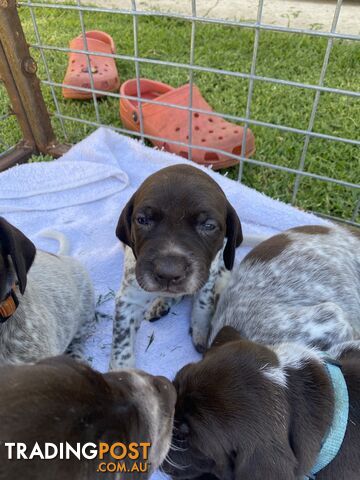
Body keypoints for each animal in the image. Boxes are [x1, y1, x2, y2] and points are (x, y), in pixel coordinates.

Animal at [109, 164, 242, 368]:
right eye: (142, 220)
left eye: (209, 226)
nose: (168, 273)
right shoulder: (129, 298)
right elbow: (121, 346)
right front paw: (122, 371)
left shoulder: (208, 273)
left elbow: (203, 302)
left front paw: (201, 329)